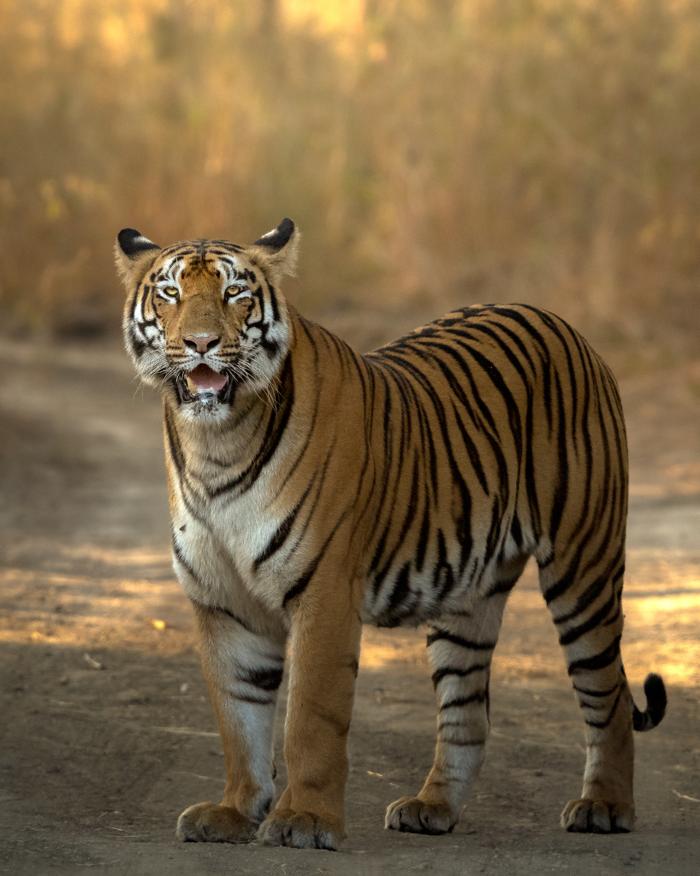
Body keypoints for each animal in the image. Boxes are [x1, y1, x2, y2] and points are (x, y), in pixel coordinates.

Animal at [115, 217, 667, 851]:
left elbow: (310, 716)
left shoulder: (324, 591)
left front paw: (304, 820)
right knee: (467, 713)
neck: (217, 444)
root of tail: (562, 323)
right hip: (468, 597)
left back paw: (604, 806)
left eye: (234, 294)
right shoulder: (222, 602)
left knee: (610, 694)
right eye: (170, 293)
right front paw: (234, 812)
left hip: (584, 567)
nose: (201, 343)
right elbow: (239, 716)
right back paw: (431, 807)